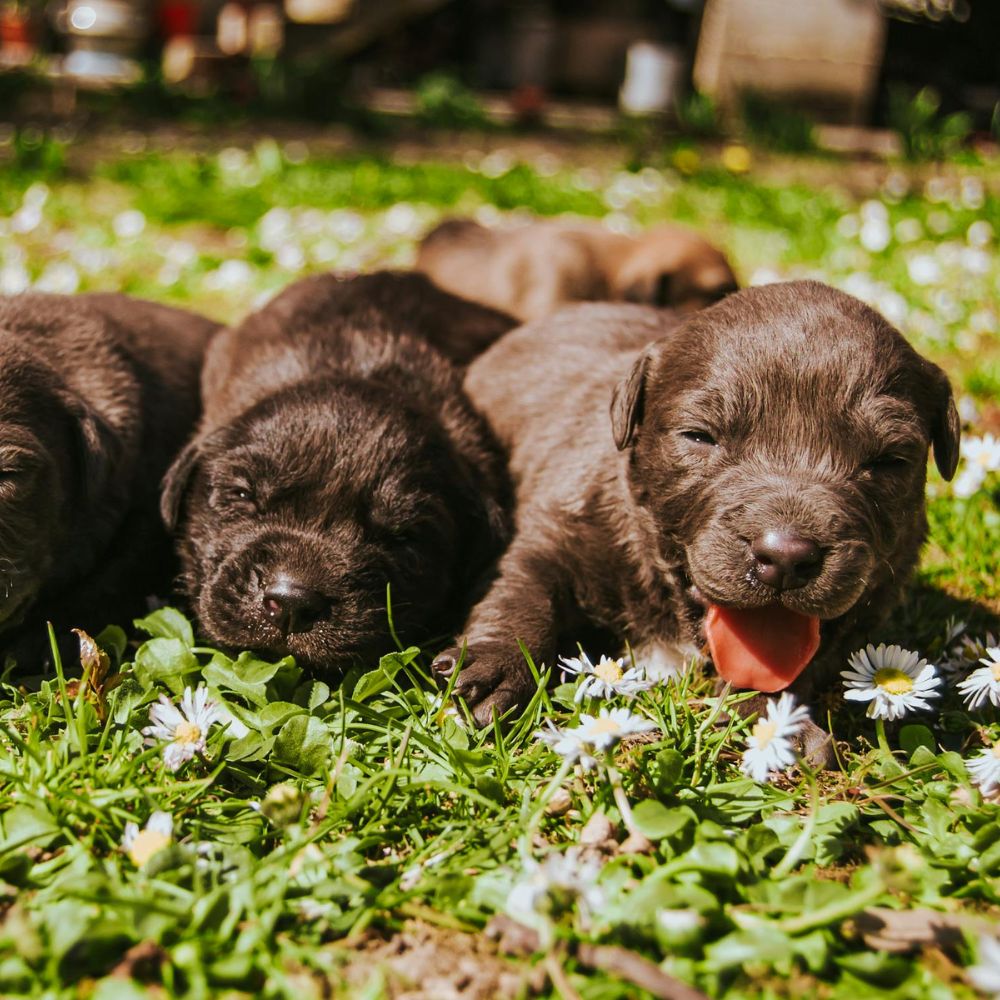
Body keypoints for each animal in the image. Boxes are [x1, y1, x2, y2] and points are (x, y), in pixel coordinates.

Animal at [432, 280, 960, 752]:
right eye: (700, 436)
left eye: (889, 460)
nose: (786, 557)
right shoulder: (556, 526)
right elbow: (524, 589)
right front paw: (495, 667)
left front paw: (777, 724)